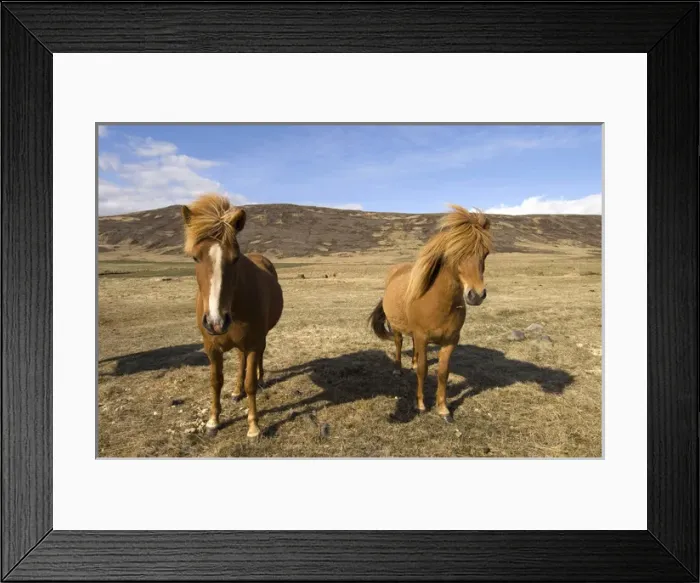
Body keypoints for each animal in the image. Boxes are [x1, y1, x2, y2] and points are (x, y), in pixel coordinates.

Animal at [181, 193, 284, 438]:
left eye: (235, 258)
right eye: (195, 258)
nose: (216, 322)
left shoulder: (254, 343)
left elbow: (250, 383)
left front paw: (254, 426)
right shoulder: (211, 347)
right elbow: (216, 381)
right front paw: (213, 421)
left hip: (260, 338)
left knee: (255, 361)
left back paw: (261, 379)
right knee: (240, 360)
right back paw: (236, 391)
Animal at [369, 204, 492, 422]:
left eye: (485, 253)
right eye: (455, 252)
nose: (476, 295)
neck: (438, 302)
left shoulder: (451, 340)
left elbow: (443, 372)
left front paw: (443, 409)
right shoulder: (422, 336)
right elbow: (423, 370)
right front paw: (420, 405)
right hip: (396, 327)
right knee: (399, 344)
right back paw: (398, 369)